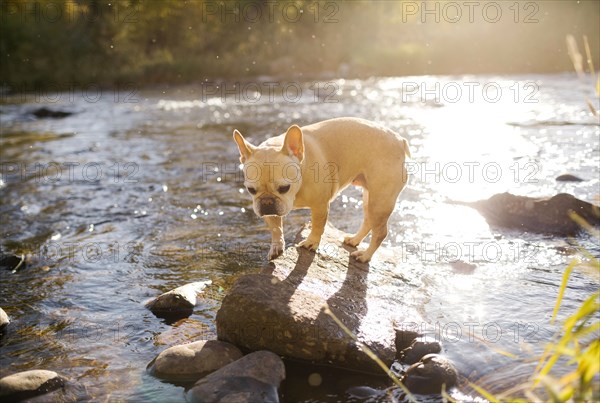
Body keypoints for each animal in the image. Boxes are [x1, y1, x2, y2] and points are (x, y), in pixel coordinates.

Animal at [232, 117, 410, 262]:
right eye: (251, 190)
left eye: (284, 188)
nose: (267, 202)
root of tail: (399, 140)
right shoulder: (272, 211)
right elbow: (276, 227)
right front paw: (276, 246)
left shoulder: (320, 205)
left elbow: (318, 226)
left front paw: (311, 243)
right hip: (370, 198)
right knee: (368, 221)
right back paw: (354, 240)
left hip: (380, 201)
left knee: (380, 232)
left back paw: (365, 256)